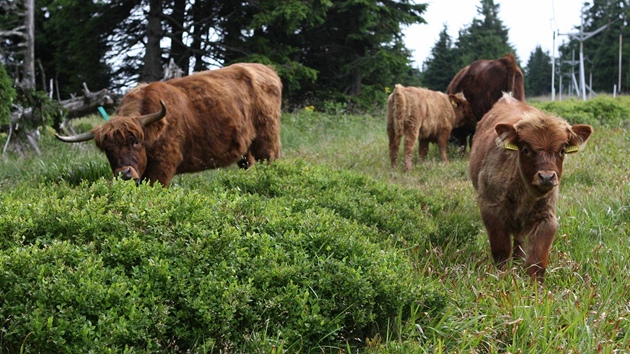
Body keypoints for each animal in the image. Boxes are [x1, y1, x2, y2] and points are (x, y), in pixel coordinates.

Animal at [56, 62, 284, 187]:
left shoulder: (163, 166)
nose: (125, 173)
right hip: (247, 149)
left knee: (270, 160)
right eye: (107, 149)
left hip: (267, 139)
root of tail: (267, 70)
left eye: (135, 142)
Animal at [472, 93, 596, 282]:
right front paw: (503, 276)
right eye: (526, 149)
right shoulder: (491, 210)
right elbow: (501, 251)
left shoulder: (546, 218)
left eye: (562, 151)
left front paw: (533, 285)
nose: (546, 177)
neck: (524, 196)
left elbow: (536, 259)